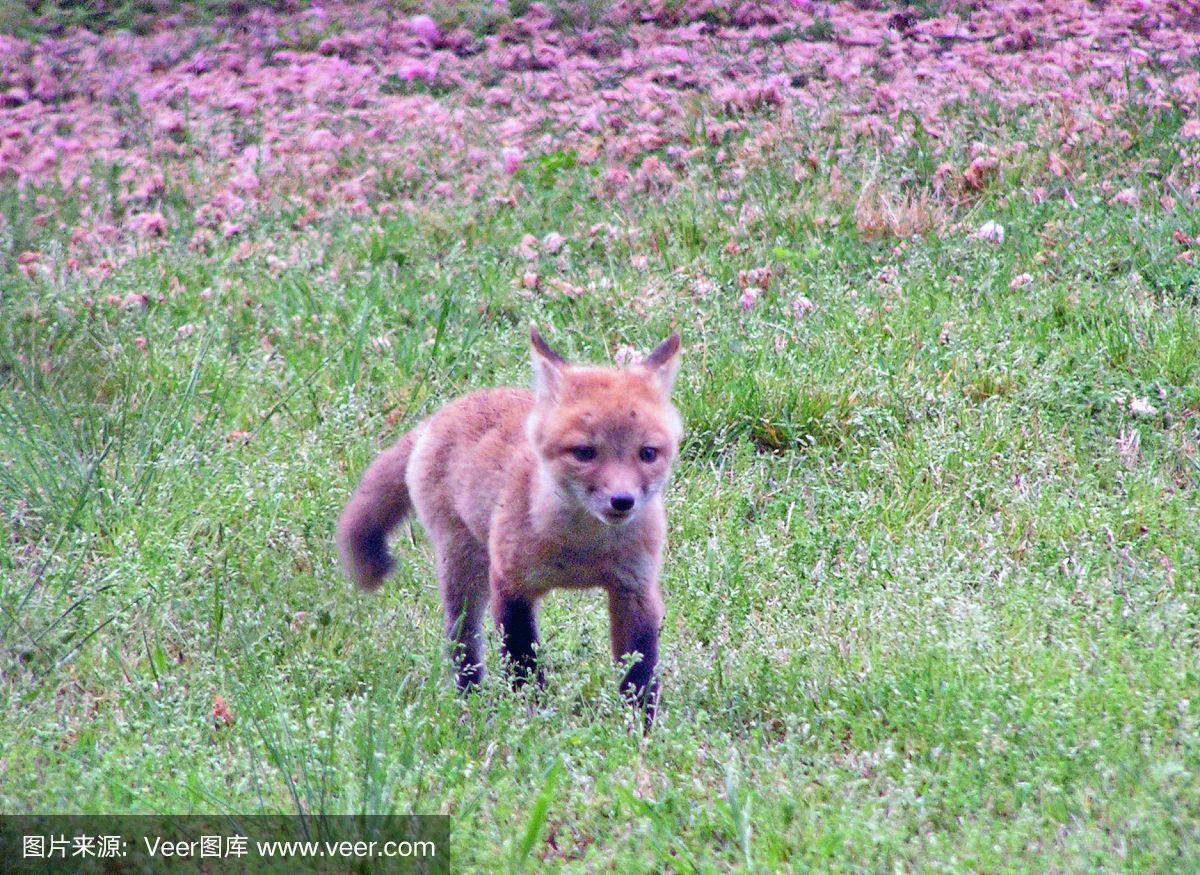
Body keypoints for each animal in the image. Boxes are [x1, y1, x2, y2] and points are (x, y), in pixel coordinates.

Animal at [338, 326, 681, 724]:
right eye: (584, 453)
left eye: (647, 454)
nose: (623, 501)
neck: (582, 552)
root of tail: (442, 414)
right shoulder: (510, 585)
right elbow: (523, 663)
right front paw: (533, 721)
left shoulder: (635, 590)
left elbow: (640, 673)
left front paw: (638, 727)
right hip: (464, 570)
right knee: (463, 644)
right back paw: (470, 701)